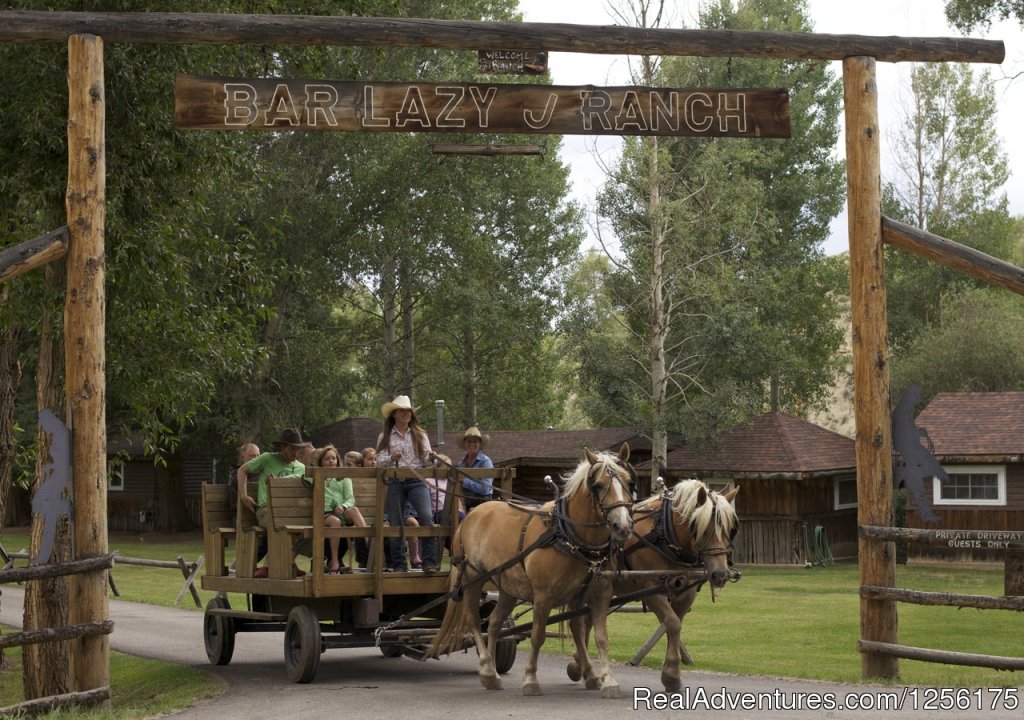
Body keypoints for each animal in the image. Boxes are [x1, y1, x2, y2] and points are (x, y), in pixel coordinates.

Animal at [428, 444, 634, 696]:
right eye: (598, 484)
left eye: (629, 482)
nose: (622, 526)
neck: (568, 536)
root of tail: (473, 513)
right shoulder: (543, 597)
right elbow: (538, 637)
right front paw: (530, 679)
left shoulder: (598, 595)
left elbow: (598, 637)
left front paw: (606, 680)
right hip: (473, 579)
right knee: (474, 620)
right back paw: (487, 669)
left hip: (507, 588)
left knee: (494, 622)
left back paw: (493, 671)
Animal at [569, 479, 737, 692]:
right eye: (701, 527)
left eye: (729, 528)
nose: (721, 574)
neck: (665, 534)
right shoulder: (649, 588)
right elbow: (672, 623)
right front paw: (671, 675)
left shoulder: (686, 592)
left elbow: (675, 624)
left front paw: (672, 674)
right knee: (579, 623)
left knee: (587, 621)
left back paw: (578, 665)